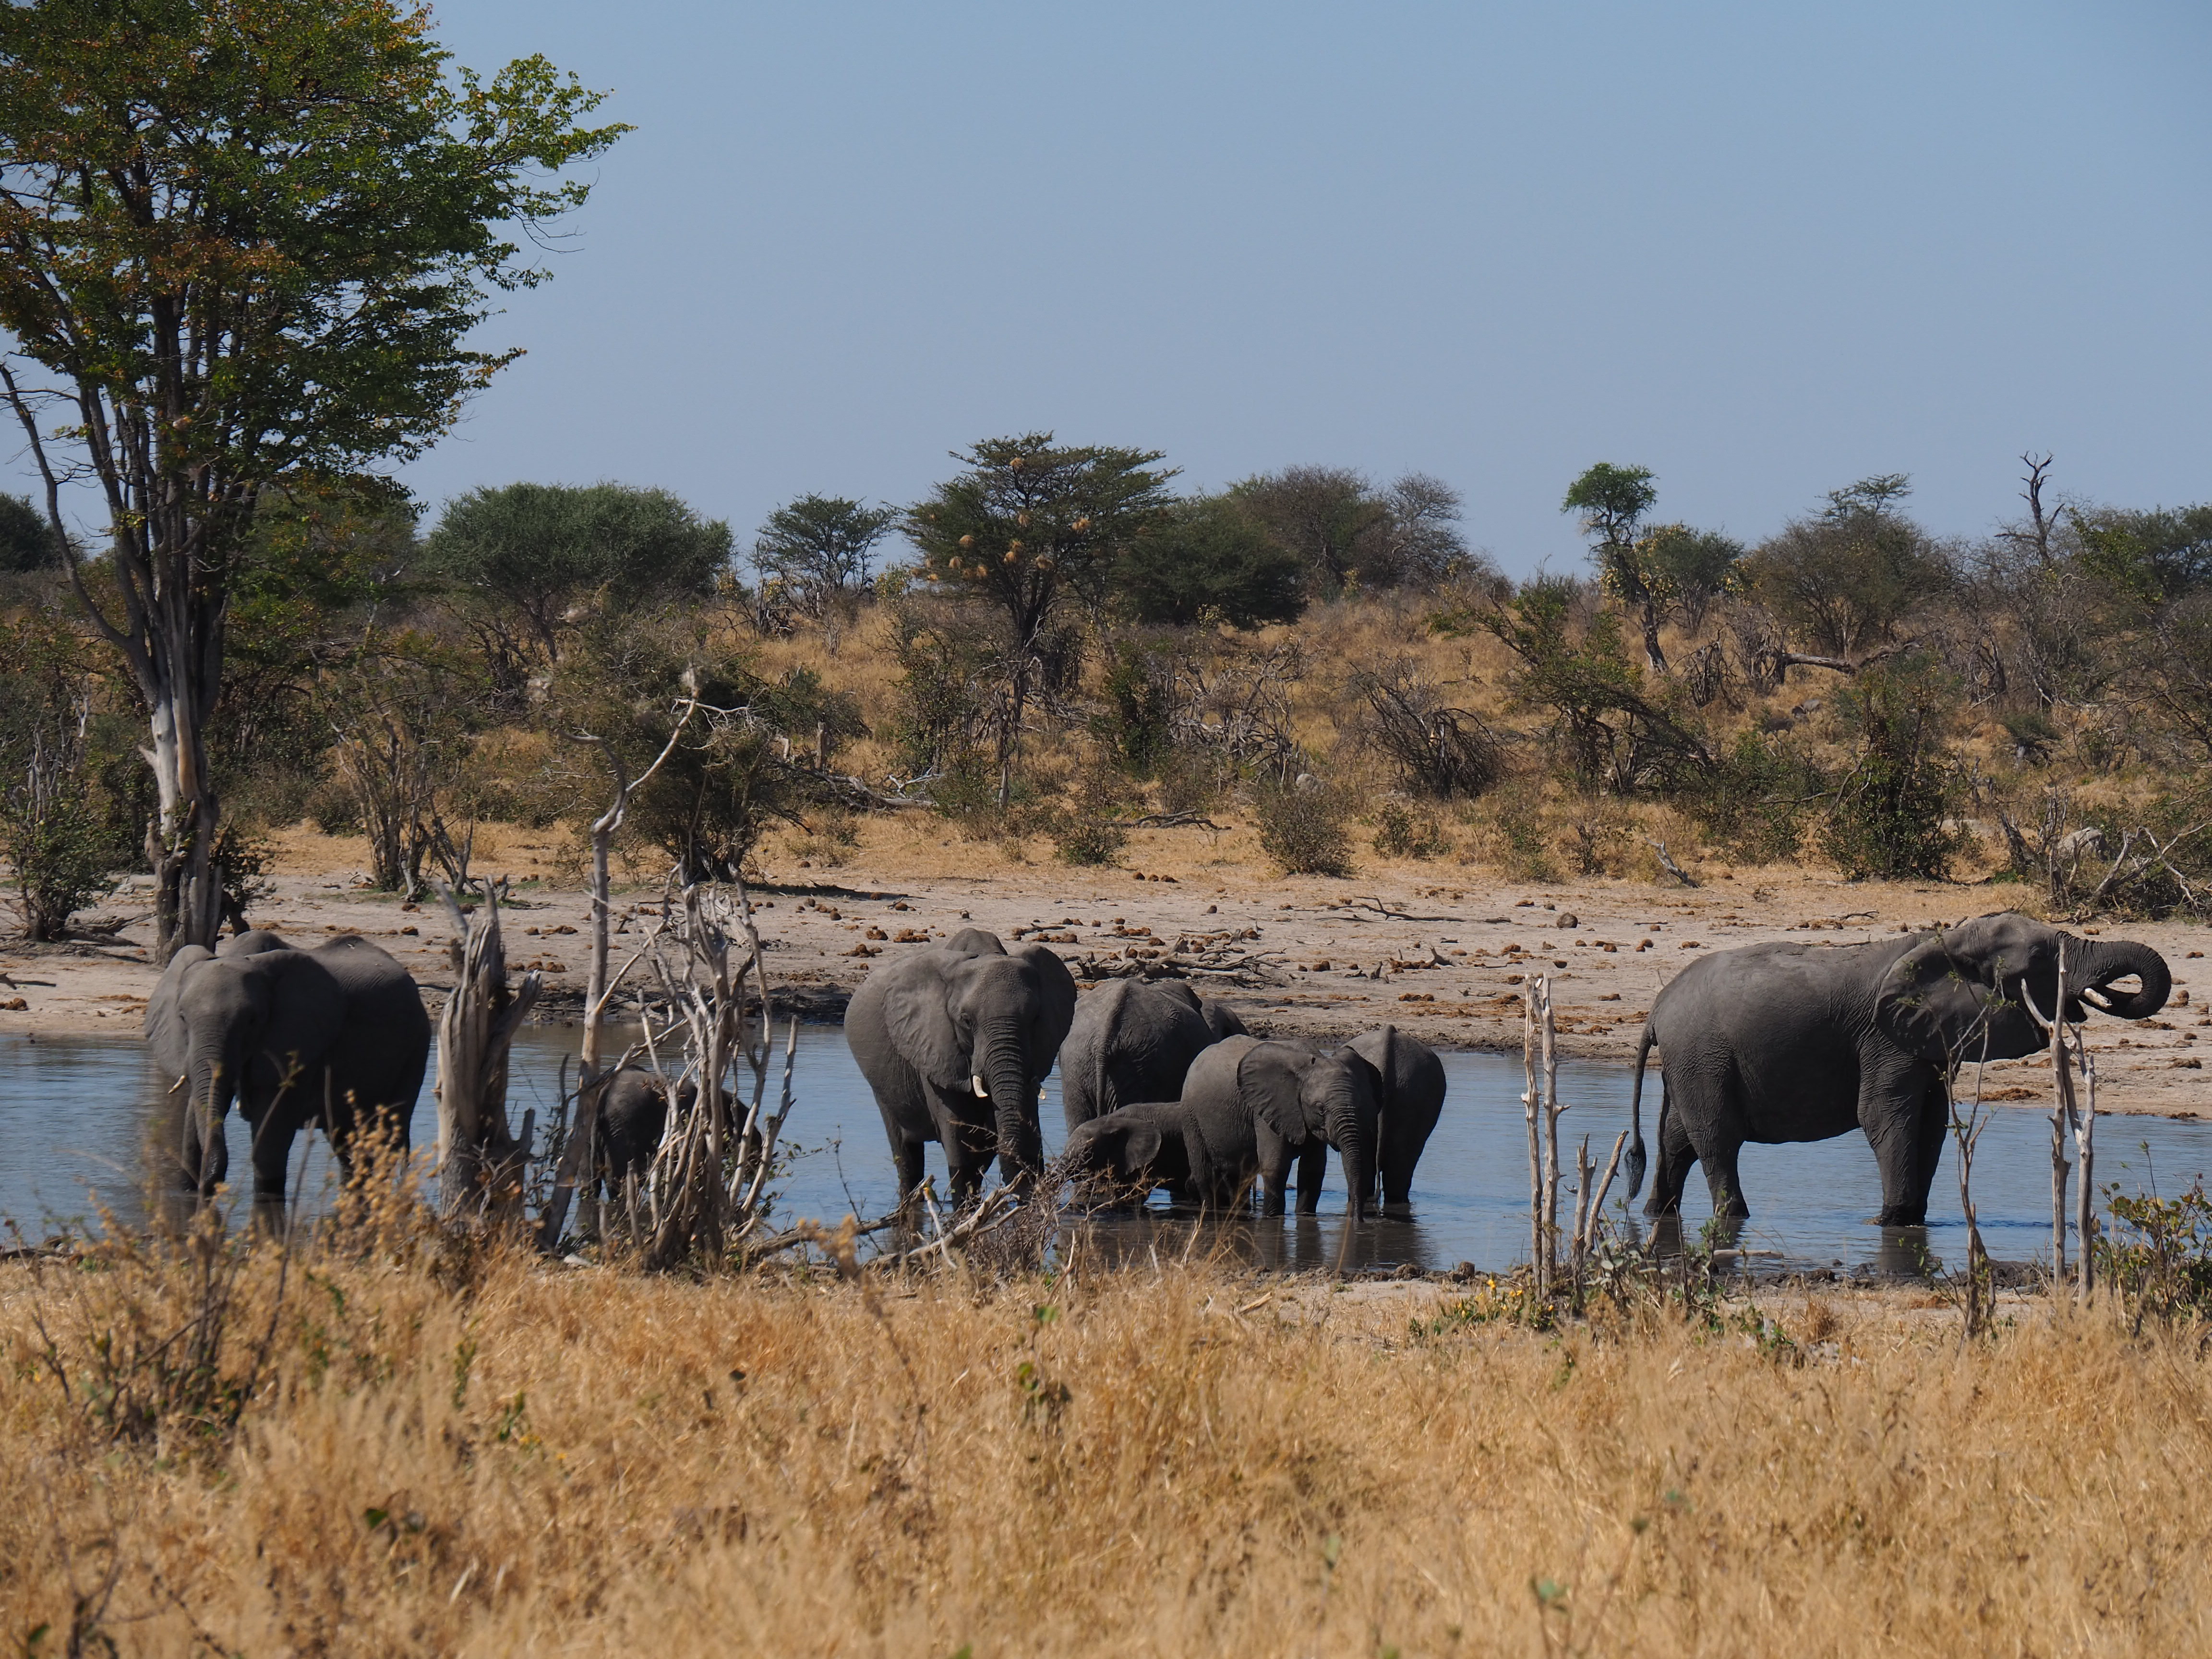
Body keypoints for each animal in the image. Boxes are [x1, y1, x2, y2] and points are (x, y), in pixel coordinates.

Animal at [145, 929, 431, 1218]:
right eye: (182, 1017)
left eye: (252, 1021)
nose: (208, 1189)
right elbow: (195, 1115)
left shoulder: (297, 1042)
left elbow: (271, 1134)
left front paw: (265, 1198)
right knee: (345, 1137)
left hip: (417, 1043)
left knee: (393, 1130)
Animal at [846, 928, 1078, 1204]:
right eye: (966, 1021)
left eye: (1035, 1018)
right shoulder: (935, 1048)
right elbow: (962, 1149)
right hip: (882, 1089)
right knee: (907, 1159)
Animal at [1626, 911, 2172, 1226]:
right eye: (2040, 958)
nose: (2092, 997)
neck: (1946, 940)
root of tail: (1656, 1009)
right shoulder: (1885, 1039)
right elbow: (1885, 1116)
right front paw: (1894, 1222)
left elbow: (1931, 1123)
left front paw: (1911, 1220)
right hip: (1701, 1055)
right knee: (1718, 1139)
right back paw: (1732, 1219)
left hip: (1695, 1061)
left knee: (1680, 1140)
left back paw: (1657, 1214)